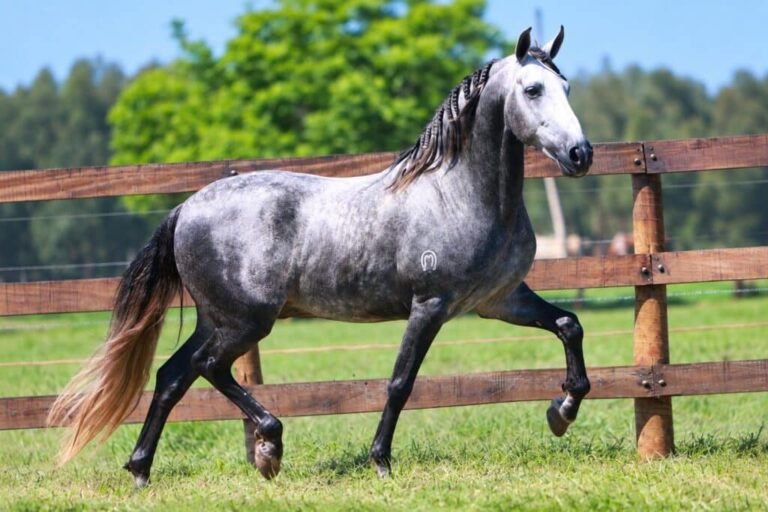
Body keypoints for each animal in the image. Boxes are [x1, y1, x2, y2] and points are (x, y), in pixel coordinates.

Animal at [48, 26, 593, 487]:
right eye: (532, 89)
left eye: (566, 87)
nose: (580, 155)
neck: (458, 194)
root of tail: (185, 208)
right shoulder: (430, 306)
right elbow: (400, 382)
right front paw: (381, 463)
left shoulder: (498, 300)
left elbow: (569, 325)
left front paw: (561, 412)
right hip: (246, 321)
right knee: (207, 368)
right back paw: (269, 447)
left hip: (217, 318)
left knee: (172, 376)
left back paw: (142, 470)